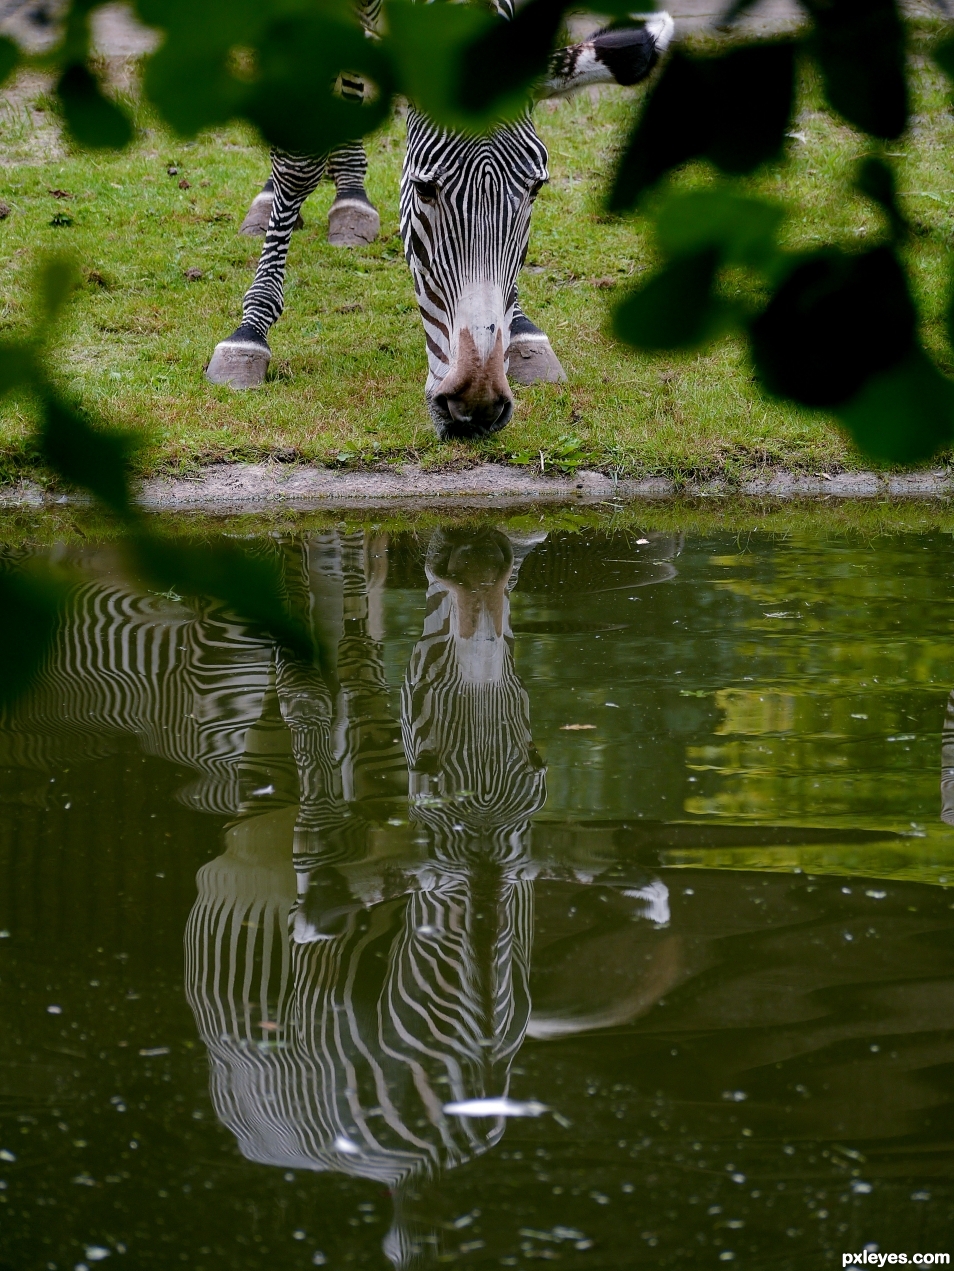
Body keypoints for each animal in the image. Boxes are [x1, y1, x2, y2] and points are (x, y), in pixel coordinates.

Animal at [205, 7, 675, 439]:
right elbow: (298, 165)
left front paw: (524, 330)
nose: (477, 405)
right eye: (423, 188)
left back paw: (350, 195)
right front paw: (249, 334)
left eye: (537, 189)